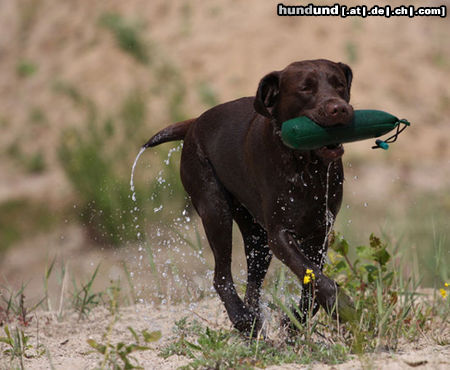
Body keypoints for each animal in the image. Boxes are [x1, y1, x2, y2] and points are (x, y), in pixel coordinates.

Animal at [144, 59, 356, 334]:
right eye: (305, 88)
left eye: (339, 84)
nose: (339, 108)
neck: (306, 167)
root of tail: (194, 123)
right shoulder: (279, 235)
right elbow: (310, 273)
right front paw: (340, 304)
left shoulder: (319, 232)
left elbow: (311, 281)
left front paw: (294, 321)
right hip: (216, 211)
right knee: (221, 275)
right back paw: (241, 318)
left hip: (256, 236)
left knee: (252, 285)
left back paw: (254, 322)